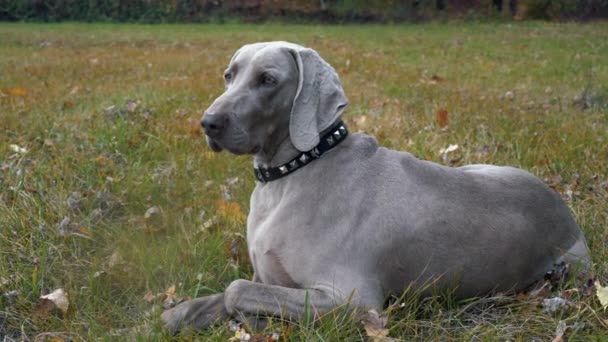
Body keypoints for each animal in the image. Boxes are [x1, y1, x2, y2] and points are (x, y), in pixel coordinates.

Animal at [160, 41, 588, 332]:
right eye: (229, 75)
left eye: (267, 80)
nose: (208, 122)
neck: (293, 171)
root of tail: (564, 208)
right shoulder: (270, 278)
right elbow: (225, 294)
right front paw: (179, 313)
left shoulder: (354, 302)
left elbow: (237, 290)